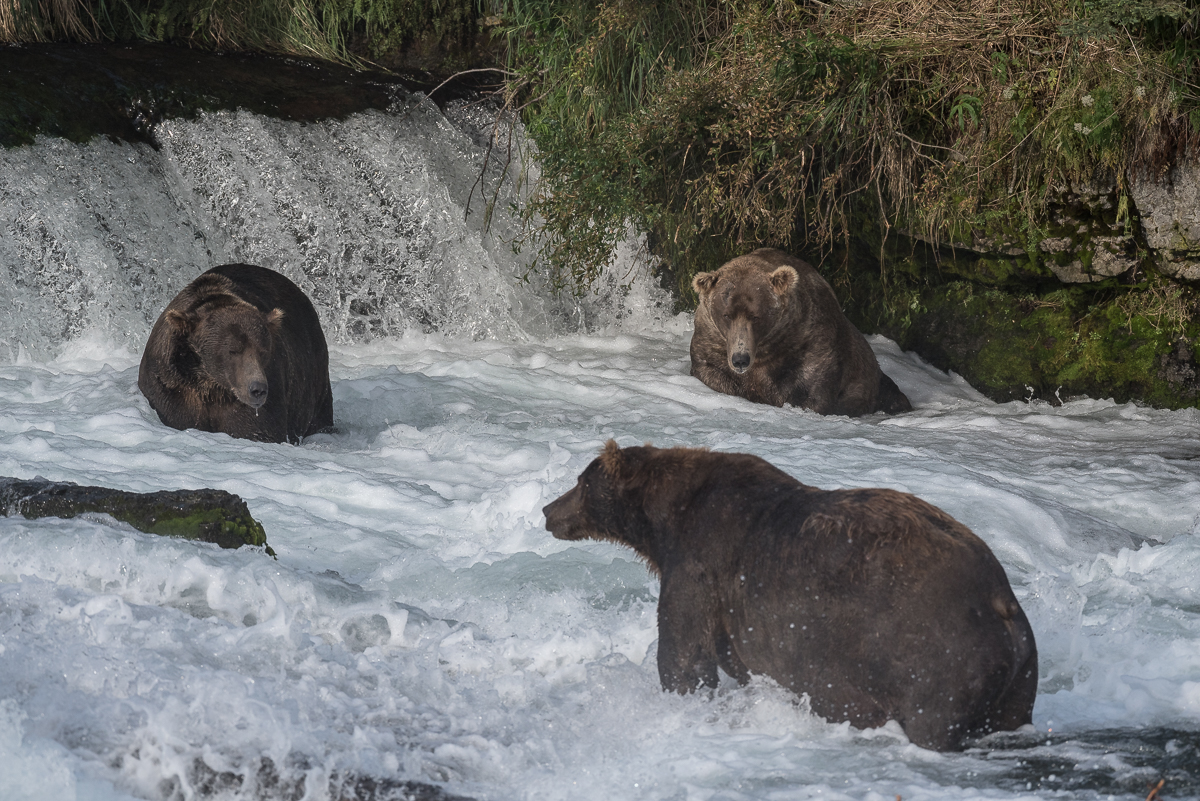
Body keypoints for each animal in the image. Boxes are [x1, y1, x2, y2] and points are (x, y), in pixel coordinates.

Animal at [139, 263, 333, 443]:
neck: (209, 384)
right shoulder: (171, 388)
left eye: (263, 351)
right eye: (232, 350)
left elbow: (255, 429)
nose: (257, 389)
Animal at [547, 441, 1041, 753]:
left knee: (932, 720)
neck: (664, 522)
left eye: (582, 481)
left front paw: (678, 699)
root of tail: (1002, 603)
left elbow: (684, 653)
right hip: (1019, 678)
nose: (549, 509)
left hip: (936, 657)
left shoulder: (701, 562)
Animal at [691, 247, 912, 417]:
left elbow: (813, 388)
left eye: (756, 316)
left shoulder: (809, 341)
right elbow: (710, 371)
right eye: (726, 315)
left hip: (875, 382)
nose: (740, 359)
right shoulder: (711, 341)